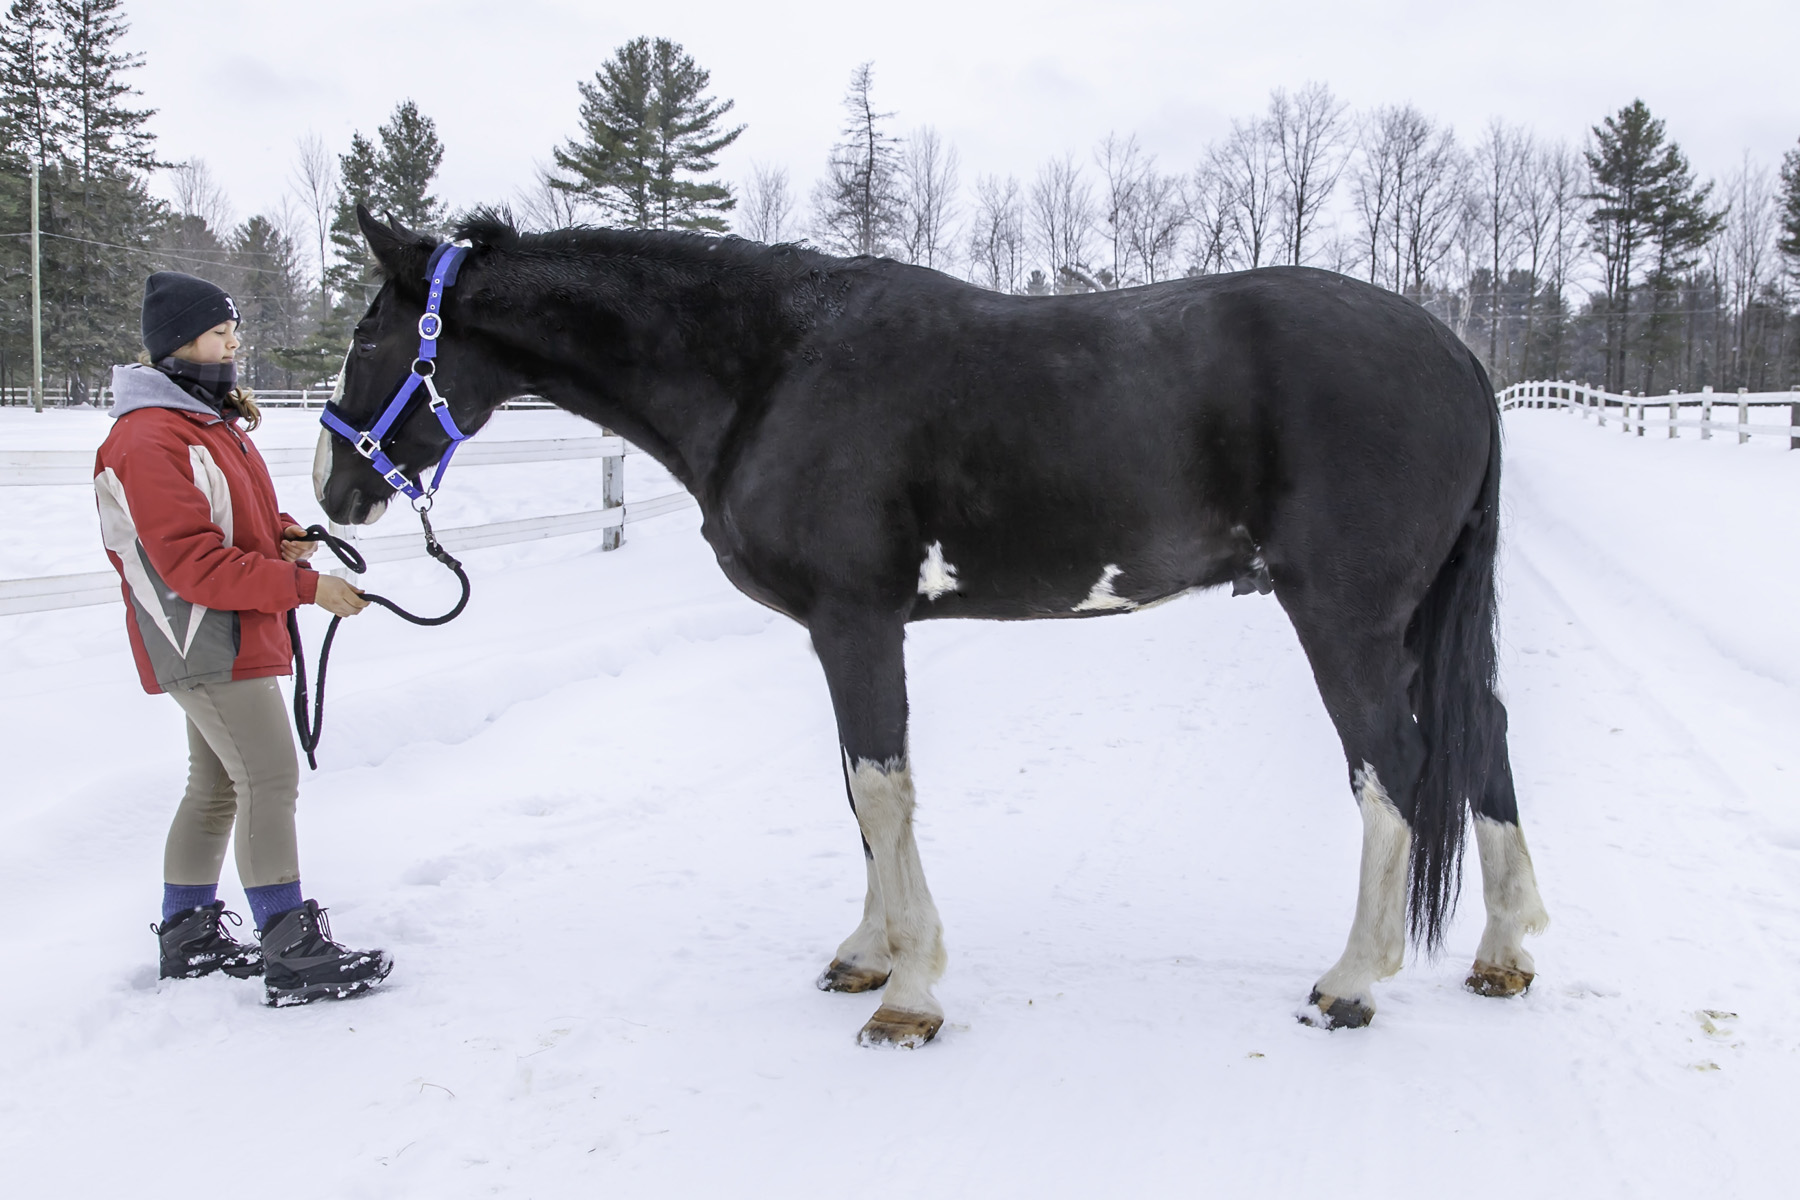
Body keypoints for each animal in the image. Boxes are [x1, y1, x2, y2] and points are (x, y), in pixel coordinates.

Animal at [315, 205, 1549, 1047]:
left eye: (370, 340)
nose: (337, 492)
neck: (772, 365)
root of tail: (1456, 354)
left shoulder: (858, 620)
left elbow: (880, 789)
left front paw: (907, 996)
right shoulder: (843, 631)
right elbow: (860, 790)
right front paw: (865, 958)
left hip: (1347, 619)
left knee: (1394, 770)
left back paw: (1352, 983)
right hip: (1412, 624)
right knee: (1483, 735)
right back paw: (1502, 952)